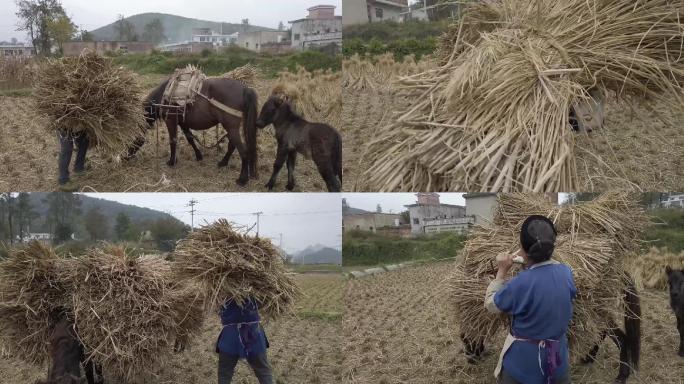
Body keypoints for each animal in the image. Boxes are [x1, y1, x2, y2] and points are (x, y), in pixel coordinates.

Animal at [127, 76, 256, 186]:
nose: (126, 157)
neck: (164, 95)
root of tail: (245, 89)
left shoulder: (170, 121)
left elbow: (173, 141)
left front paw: (171, 162)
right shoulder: (183, 123)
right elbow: (190, 139)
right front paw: (198, 156)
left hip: (231, 127)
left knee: (243, 151)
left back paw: (242, 179)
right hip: (231, 128)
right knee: (232, 146)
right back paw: (223, 163)